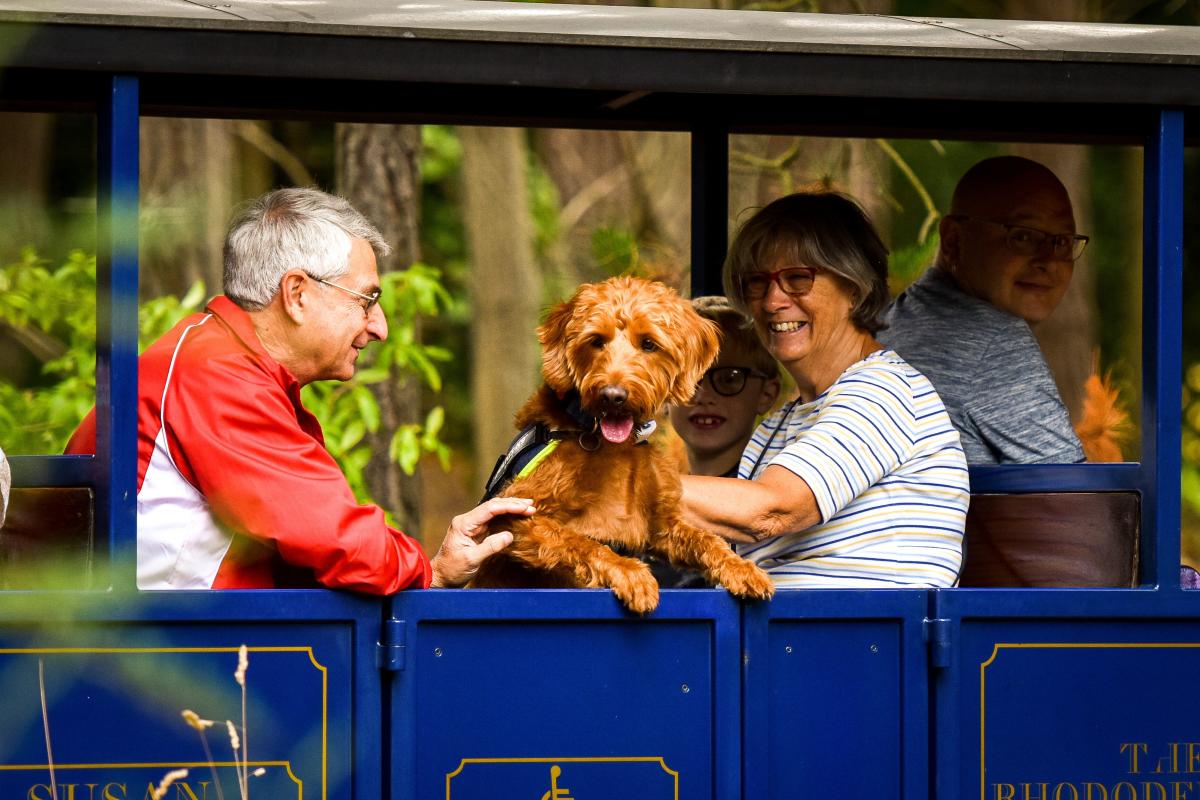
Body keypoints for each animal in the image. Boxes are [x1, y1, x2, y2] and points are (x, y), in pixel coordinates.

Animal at [475, 275, 777, 614]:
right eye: (596, 341)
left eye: (649, 344)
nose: (612, 396)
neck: (607, 444)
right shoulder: (512, 514)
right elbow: (580, 541)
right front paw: (630, 572)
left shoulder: (662, 526)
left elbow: (706, 538)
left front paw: (740, 567)